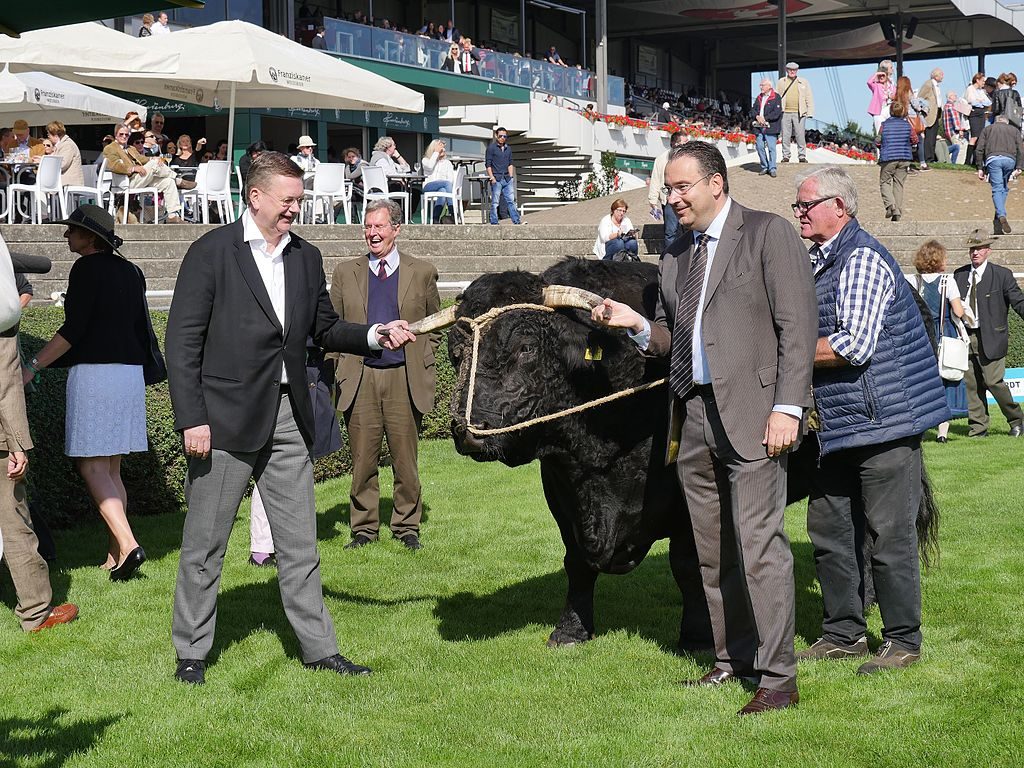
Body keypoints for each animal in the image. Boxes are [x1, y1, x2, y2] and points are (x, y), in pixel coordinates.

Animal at [444, 257, 937, 651]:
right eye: (457, 353)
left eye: (525, 348)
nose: (468, 430)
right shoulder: (562, 490)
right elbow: (577, 564)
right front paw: (570, 631)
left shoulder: (684, 496)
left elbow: (689, 564)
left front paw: (697, 634)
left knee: (871, 530)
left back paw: (869, 601)